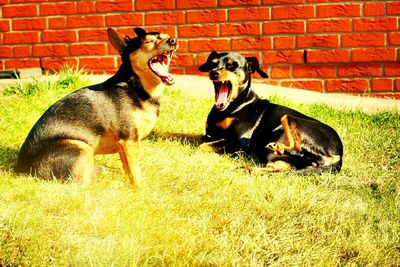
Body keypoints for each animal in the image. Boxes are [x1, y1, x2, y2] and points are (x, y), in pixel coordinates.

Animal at [15, 27, 178, 186]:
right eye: (149, 42)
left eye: (167, 36)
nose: (173, 40)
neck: (136, 86)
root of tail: (22, 169)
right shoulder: (129, 141)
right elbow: (135, 173)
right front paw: (140, 190)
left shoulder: (124, 146)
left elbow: (127, 169)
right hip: (83, 148)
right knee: (80, 185)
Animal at [195, 51, 342, 174]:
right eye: (213, 63)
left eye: (232, 66)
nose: (214, 73)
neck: (234, 106)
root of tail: (340, 150)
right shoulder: (209, 135)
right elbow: (191, 137)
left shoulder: (238, 141)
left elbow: (202, 147)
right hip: (273, 154)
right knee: (279, 166)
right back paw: (248, 167)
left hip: (287, 118)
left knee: (318, 157)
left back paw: (277, 148)